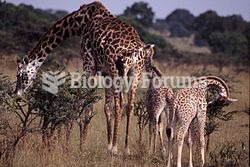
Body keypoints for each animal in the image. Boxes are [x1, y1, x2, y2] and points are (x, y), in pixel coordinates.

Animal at [15, 1, 154, 155]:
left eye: (21, 75)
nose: (17, 95)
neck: (80, 22)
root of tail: (135, 50)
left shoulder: (89, 63)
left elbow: (88, 106)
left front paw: (82, 146)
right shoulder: (105, 72)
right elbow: (107, 107)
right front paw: (108, 145)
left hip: (116, 69)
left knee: (120, 104)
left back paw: (116, 148)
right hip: (135, 72)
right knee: (130, 105)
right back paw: (126, 148)